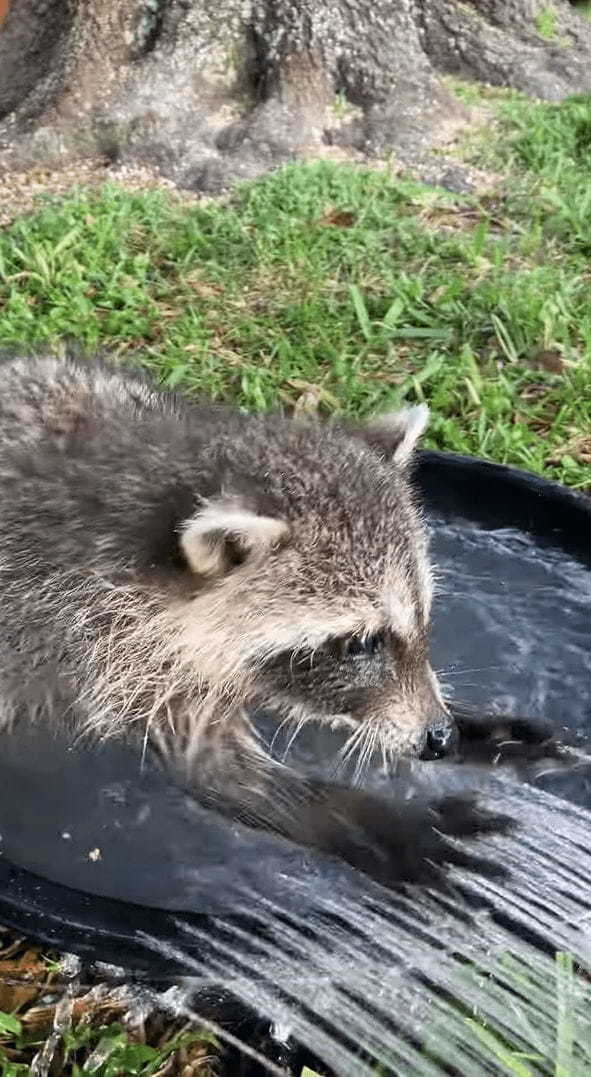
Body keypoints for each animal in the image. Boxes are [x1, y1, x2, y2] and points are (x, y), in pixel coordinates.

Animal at [0, 357, 512, 887]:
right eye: (360, 643)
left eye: (422, 616)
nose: (440, 737)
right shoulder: (89, 635)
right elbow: (215, 768)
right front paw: (361, 818)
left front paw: (470, 724)